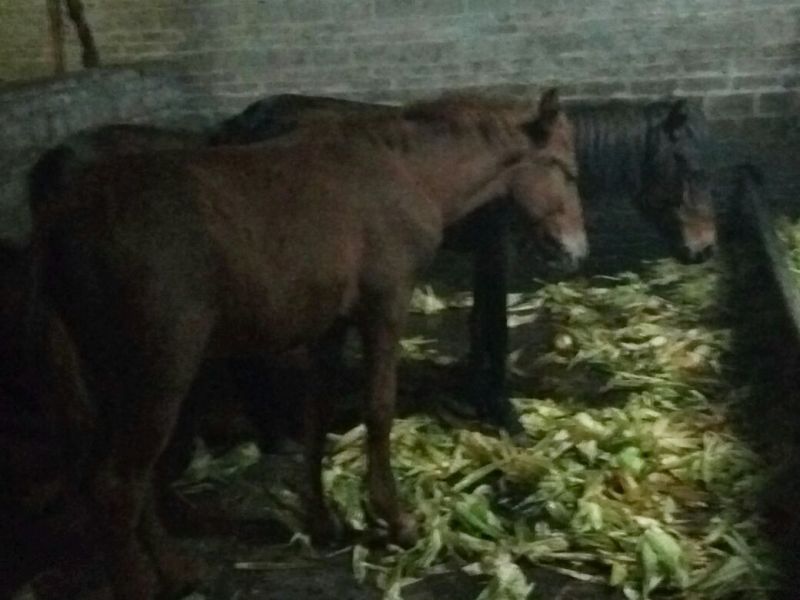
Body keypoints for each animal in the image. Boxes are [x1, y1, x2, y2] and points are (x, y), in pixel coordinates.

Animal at [26, 90, 587, 600]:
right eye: (564, 169)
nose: (575, 251)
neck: (404, 172)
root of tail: (59, 222)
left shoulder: (330, 327)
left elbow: (316, 415)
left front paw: (323, 521)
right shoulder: (384, 307)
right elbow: (378, 410)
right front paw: (396, 521)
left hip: (113, 376)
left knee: (119, 477)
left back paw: (178, 570)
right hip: (160, 373)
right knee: (119, 483)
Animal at [209, 93, 715, 431]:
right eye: (688, 166)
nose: (705, 249)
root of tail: (242, 123)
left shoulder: (487, 253)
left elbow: (481, 323)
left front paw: (479, 393)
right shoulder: (495, 252)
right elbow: (494, 325)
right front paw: (503, 410)